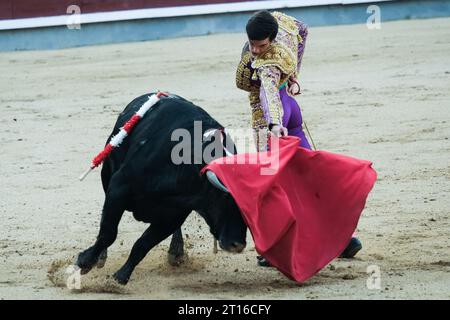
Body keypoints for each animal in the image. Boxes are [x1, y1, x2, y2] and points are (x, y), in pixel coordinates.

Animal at [75, 93, 248, 284]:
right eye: (225, 199)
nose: (237, 245)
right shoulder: (118, 188)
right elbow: (108, 232)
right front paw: (85, 261)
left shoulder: (173, 216)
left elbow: (142, 245)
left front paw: (121, 277)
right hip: (107, 174)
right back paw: (100, 257)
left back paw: (176, 253)